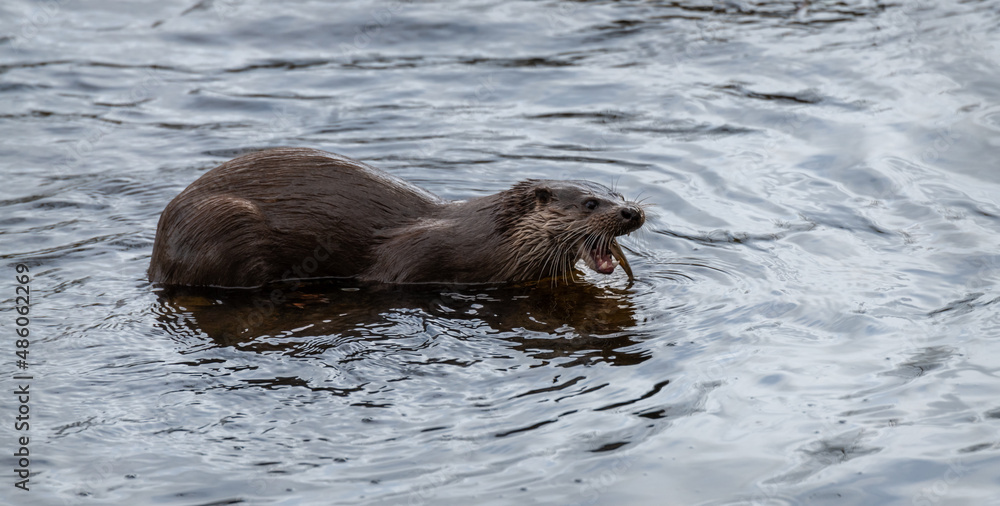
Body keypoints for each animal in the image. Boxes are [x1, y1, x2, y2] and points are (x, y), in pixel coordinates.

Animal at [148, 147, 644, 287]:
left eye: (618, 193)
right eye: (590, 203)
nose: (633, 211)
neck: (488, 240)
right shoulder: (412, 260)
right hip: (224, 222)